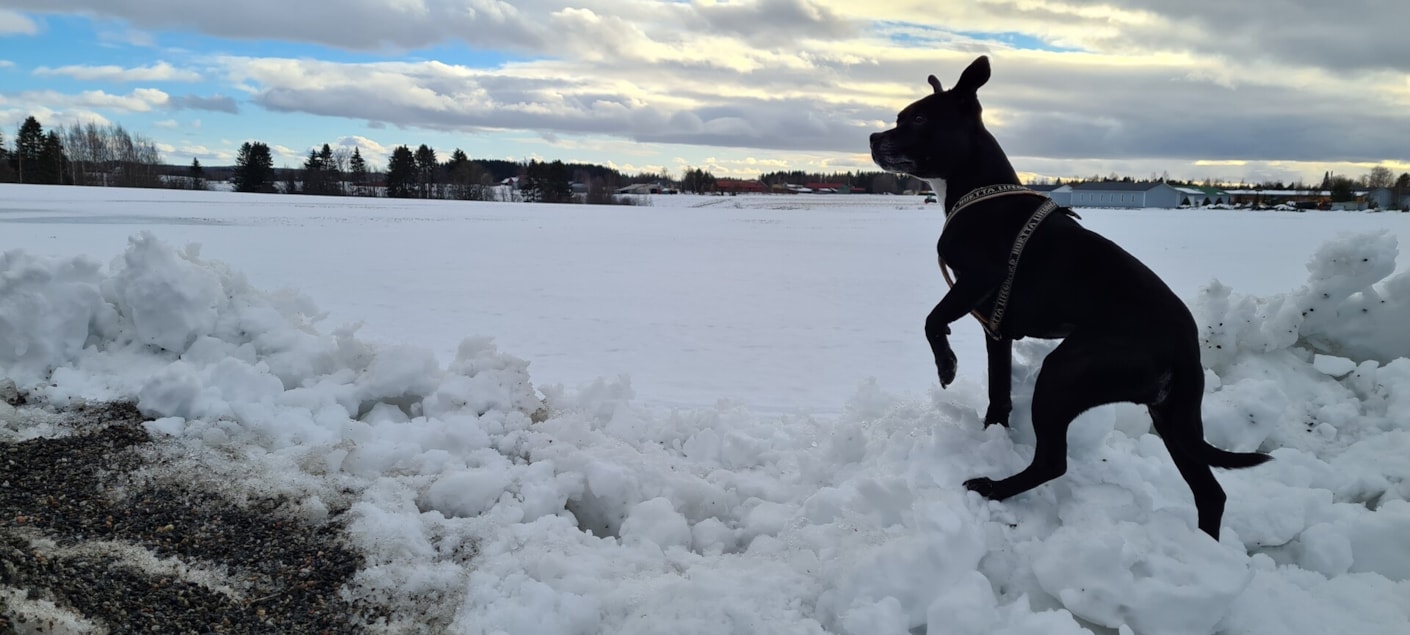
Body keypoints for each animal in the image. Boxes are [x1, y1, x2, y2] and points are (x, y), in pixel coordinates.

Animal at [862, 55, 1274, 541]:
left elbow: (931, 321)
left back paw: (993, 488)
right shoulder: (996, 327)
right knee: (1210, 492)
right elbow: (998, 393)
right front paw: (991, 431)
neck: (979, 190)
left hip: (1063, 373)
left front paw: (946, 366)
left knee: (1052, 462)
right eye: (899, 118)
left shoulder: (979, 279)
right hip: (1173, 416)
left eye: (920, 119)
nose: (872, 138)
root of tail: (1184, 346)